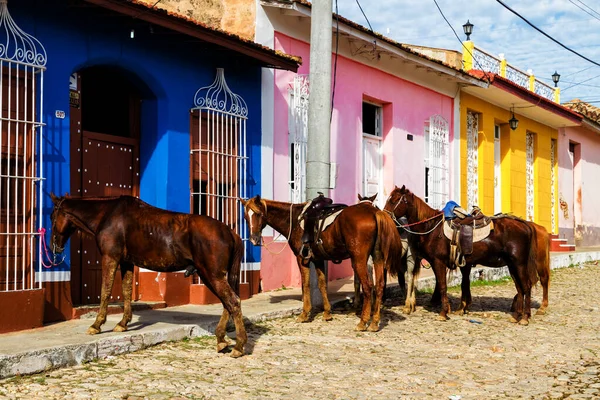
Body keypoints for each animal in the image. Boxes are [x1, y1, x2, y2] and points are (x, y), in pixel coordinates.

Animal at [49, 193, 248, 356]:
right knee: (227, 303)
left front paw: (96, 325)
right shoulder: (126, 262)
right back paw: (221, 340)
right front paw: (123, 323)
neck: (106, 214)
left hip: (212, 275)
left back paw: (238, 346)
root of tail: (230, 232)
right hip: (212, 276)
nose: (54, 246)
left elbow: (105, 291)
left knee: (233, 302)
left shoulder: (110, 258)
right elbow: (127, 291)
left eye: (52, 217)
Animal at [240, 195, 404, 332]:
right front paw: (327, 313)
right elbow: (321, 284)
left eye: (259, 214)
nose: (254, 239)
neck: (295, 219)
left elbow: (306, 285)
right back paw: (375, 322)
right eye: (245, 217)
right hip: (377, 257)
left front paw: (305, 314)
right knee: (380, 286)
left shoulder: (302, 259)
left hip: (359, 259)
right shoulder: (318, 259)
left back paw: (363, 322)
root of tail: (374, 212)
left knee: (369, 286)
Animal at [384, 185, 544, 324]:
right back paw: (516, 316)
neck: (433, 228)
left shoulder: (438, 262)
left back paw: (524, 318)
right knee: (520, 288)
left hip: (519, 264)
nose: (385, 215)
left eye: (393, 200)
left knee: (526, 286)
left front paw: (443, 313)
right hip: (512, 265)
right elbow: (458, 284)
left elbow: (442, 285)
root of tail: (525, 224)